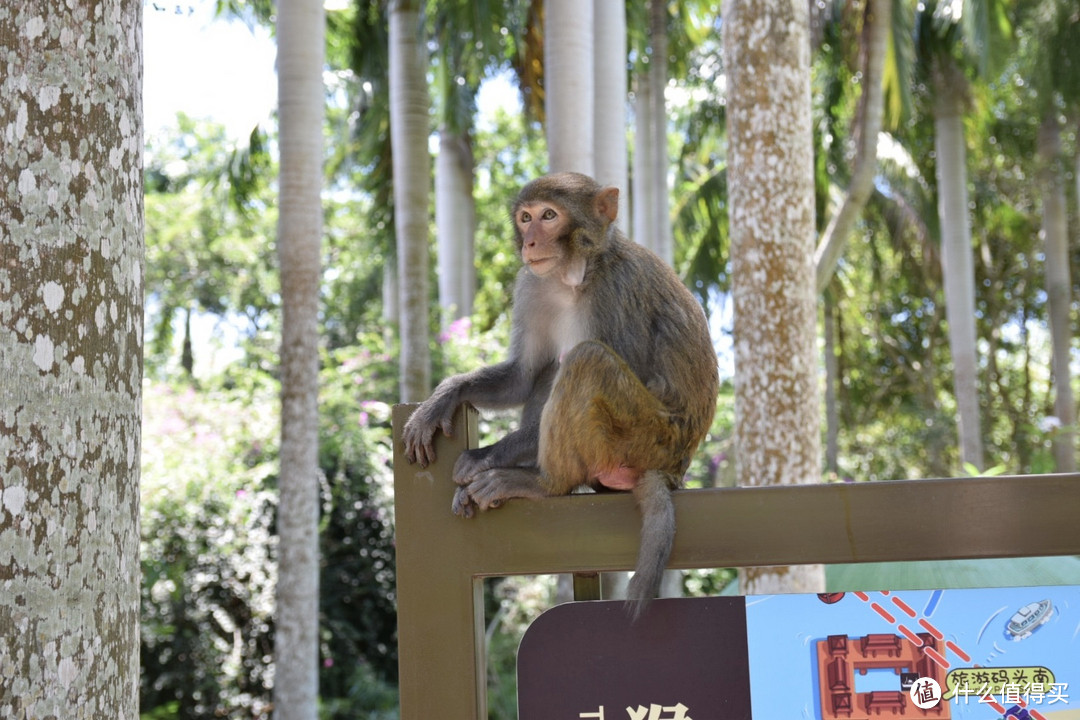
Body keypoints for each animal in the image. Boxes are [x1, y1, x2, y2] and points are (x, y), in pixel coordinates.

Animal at [401, 171, 721, 617]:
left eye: (549, 216)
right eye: (525, 218)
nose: (531, 242)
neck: (574, 275)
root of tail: (676, 467)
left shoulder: (615, 291)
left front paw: (482, 457)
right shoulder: (533, 286)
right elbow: (523, 376)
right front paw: (441, 400)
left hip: (648, 437)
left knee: (585, 359)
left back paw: (543, 483)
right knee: (553, 368)